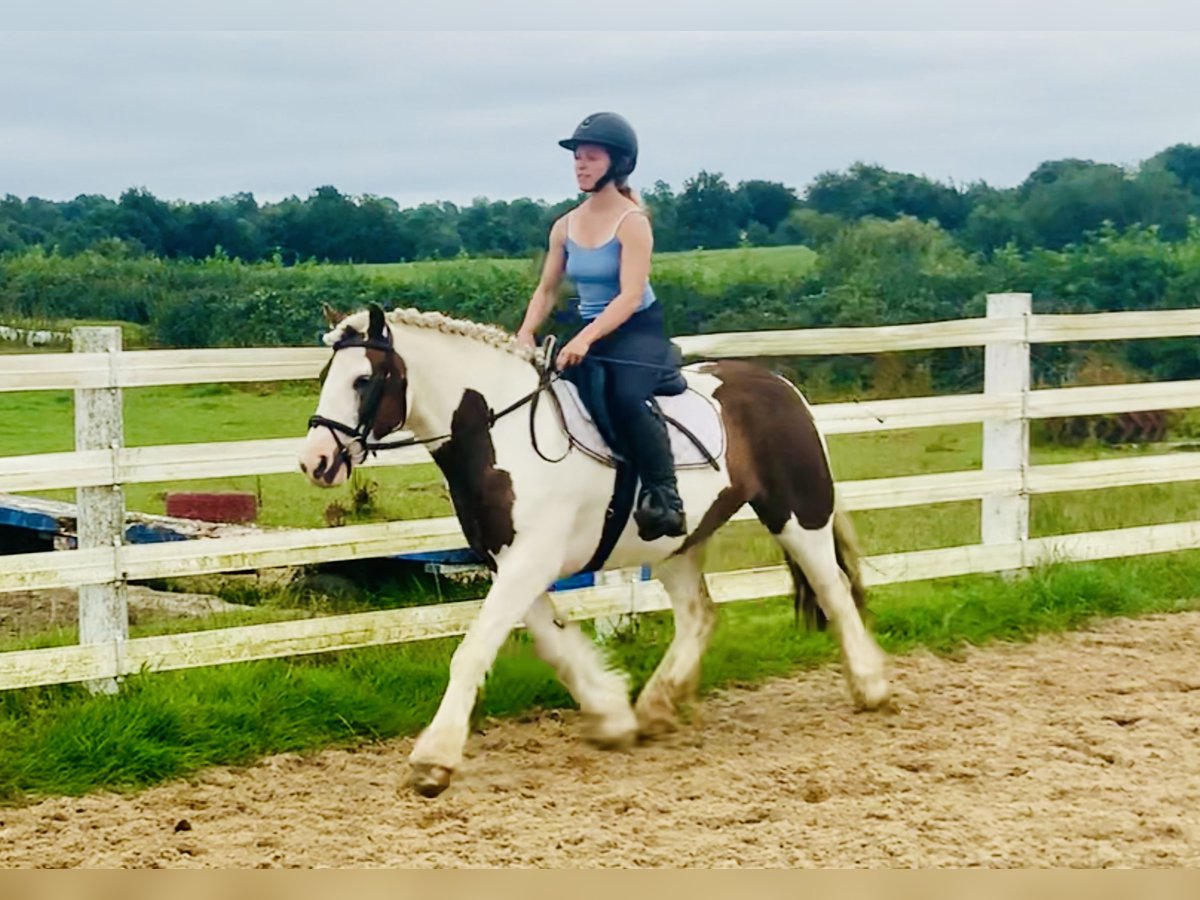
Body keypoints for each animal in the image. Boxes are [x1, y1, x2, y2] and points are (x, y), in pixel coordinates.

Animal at [295, 307, 888, 801]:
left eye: (364, 379)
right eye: (327, 377)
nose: (315, 461)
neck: (500, 437)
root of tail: (781, 385)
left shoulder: (528, 563)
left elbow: (473, 651)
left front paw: (432, 761)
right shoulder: (511, 563)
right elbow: (553, 643)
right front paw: (610, 713)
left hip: (798, 516)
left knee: (834, 592)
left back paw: (872, 686)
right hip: (676, 544)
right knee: (699, 615)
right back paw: (655, 708)